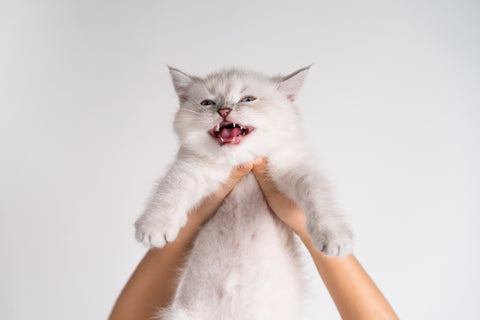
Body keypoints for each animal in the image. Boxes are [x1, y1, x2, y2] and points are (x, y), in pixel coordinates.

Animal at [135, 66, 352, 318]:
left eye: (247, 99)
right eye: (207, 103)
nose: (224, 111)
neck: (242, 164)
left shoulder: (297, 169)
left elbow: (318, 195)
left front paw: (334, 236)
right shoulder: (190, 168)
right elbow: (170, 190)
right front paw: (154, 227)